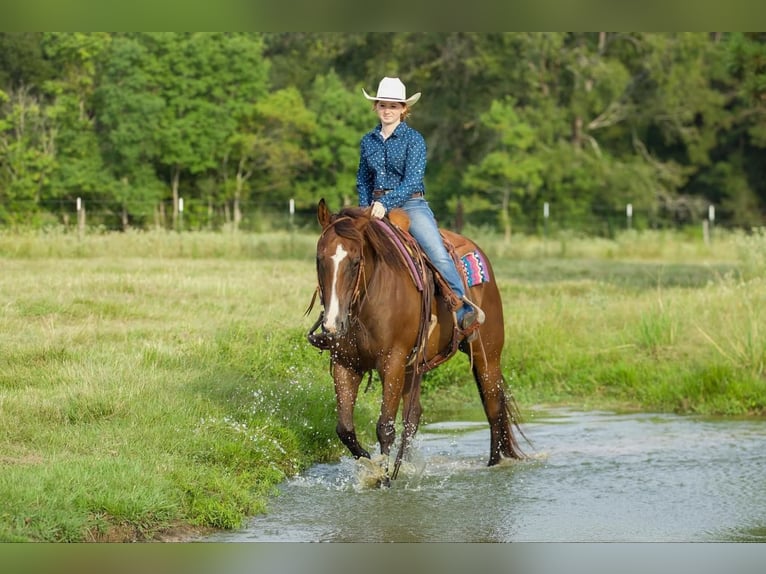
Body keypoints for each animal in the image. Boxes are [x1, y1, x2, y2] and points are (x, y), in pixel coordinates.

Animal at [308, 200, 524, 480]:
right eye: (319, 259)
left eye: (355, 262)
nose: (333, 324)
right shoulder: (345, 364)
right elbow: (345, 429)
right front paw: (371, 465)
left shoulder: (392, 363)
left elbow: (385, 427)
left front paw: (383, 479)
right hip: (414, 366)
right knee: (413, 416)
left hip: (486, 353)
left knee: (494, 405)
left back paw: (494, 464)